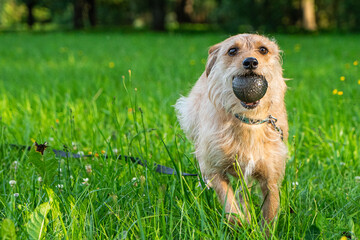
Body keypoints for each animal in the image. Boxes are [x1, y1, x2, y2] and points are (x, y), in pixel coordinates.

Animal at [174, 33, 286, 225]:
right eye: (232, 50)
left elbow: (270, 215)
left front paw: (258, 228)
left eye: (263, 49)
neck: (248, 120)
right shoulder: (216, 170)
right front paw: (242, 225)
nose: (251, 62)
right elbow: (230, 207)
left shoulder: (270, 177)